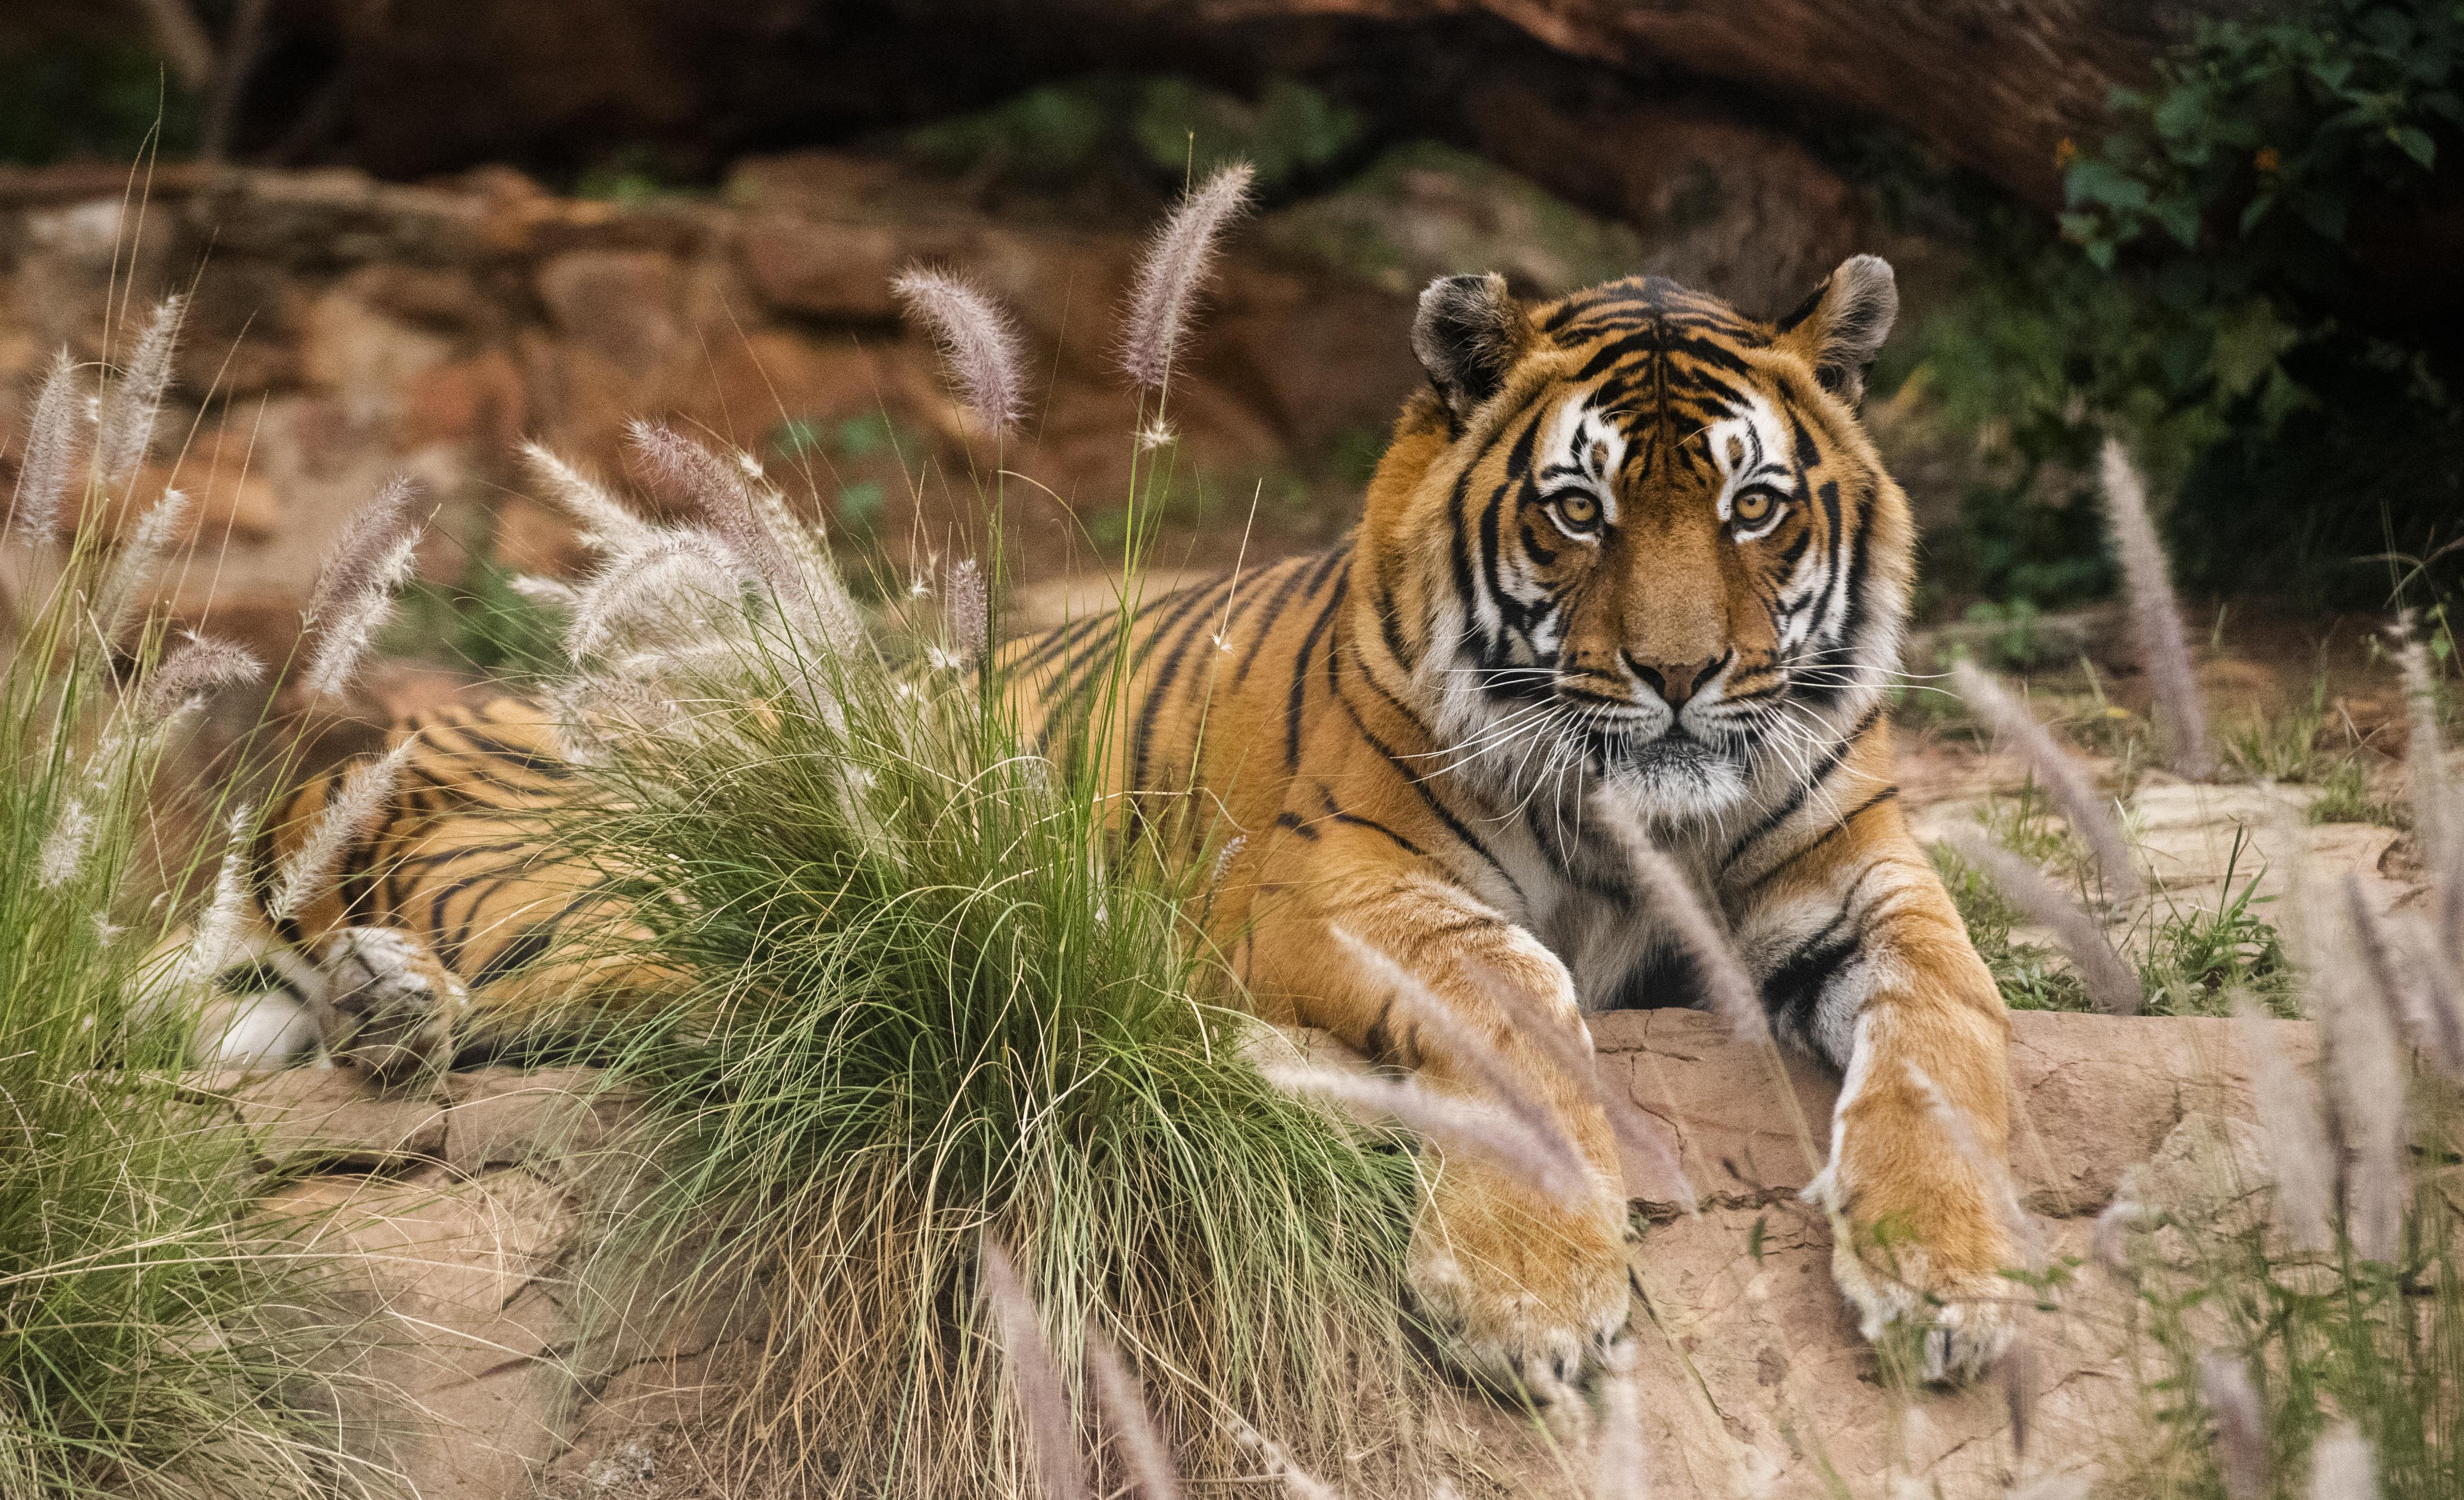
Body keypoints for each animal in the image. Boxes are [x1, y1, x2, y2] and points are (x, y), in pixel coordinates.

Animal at [225, 256, 2016, 1395]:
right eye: (1576, 510)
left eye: (1755, 505)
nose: (1680, 677)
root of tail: (373, 752)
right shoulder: (1333, 886)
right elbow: (1525, 1003)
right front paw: (1525, 1292)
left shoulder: (1868, 878)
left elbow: (1952, 1030)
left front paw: (1952, 1275)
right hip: (630, 854)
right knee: (634, 992)